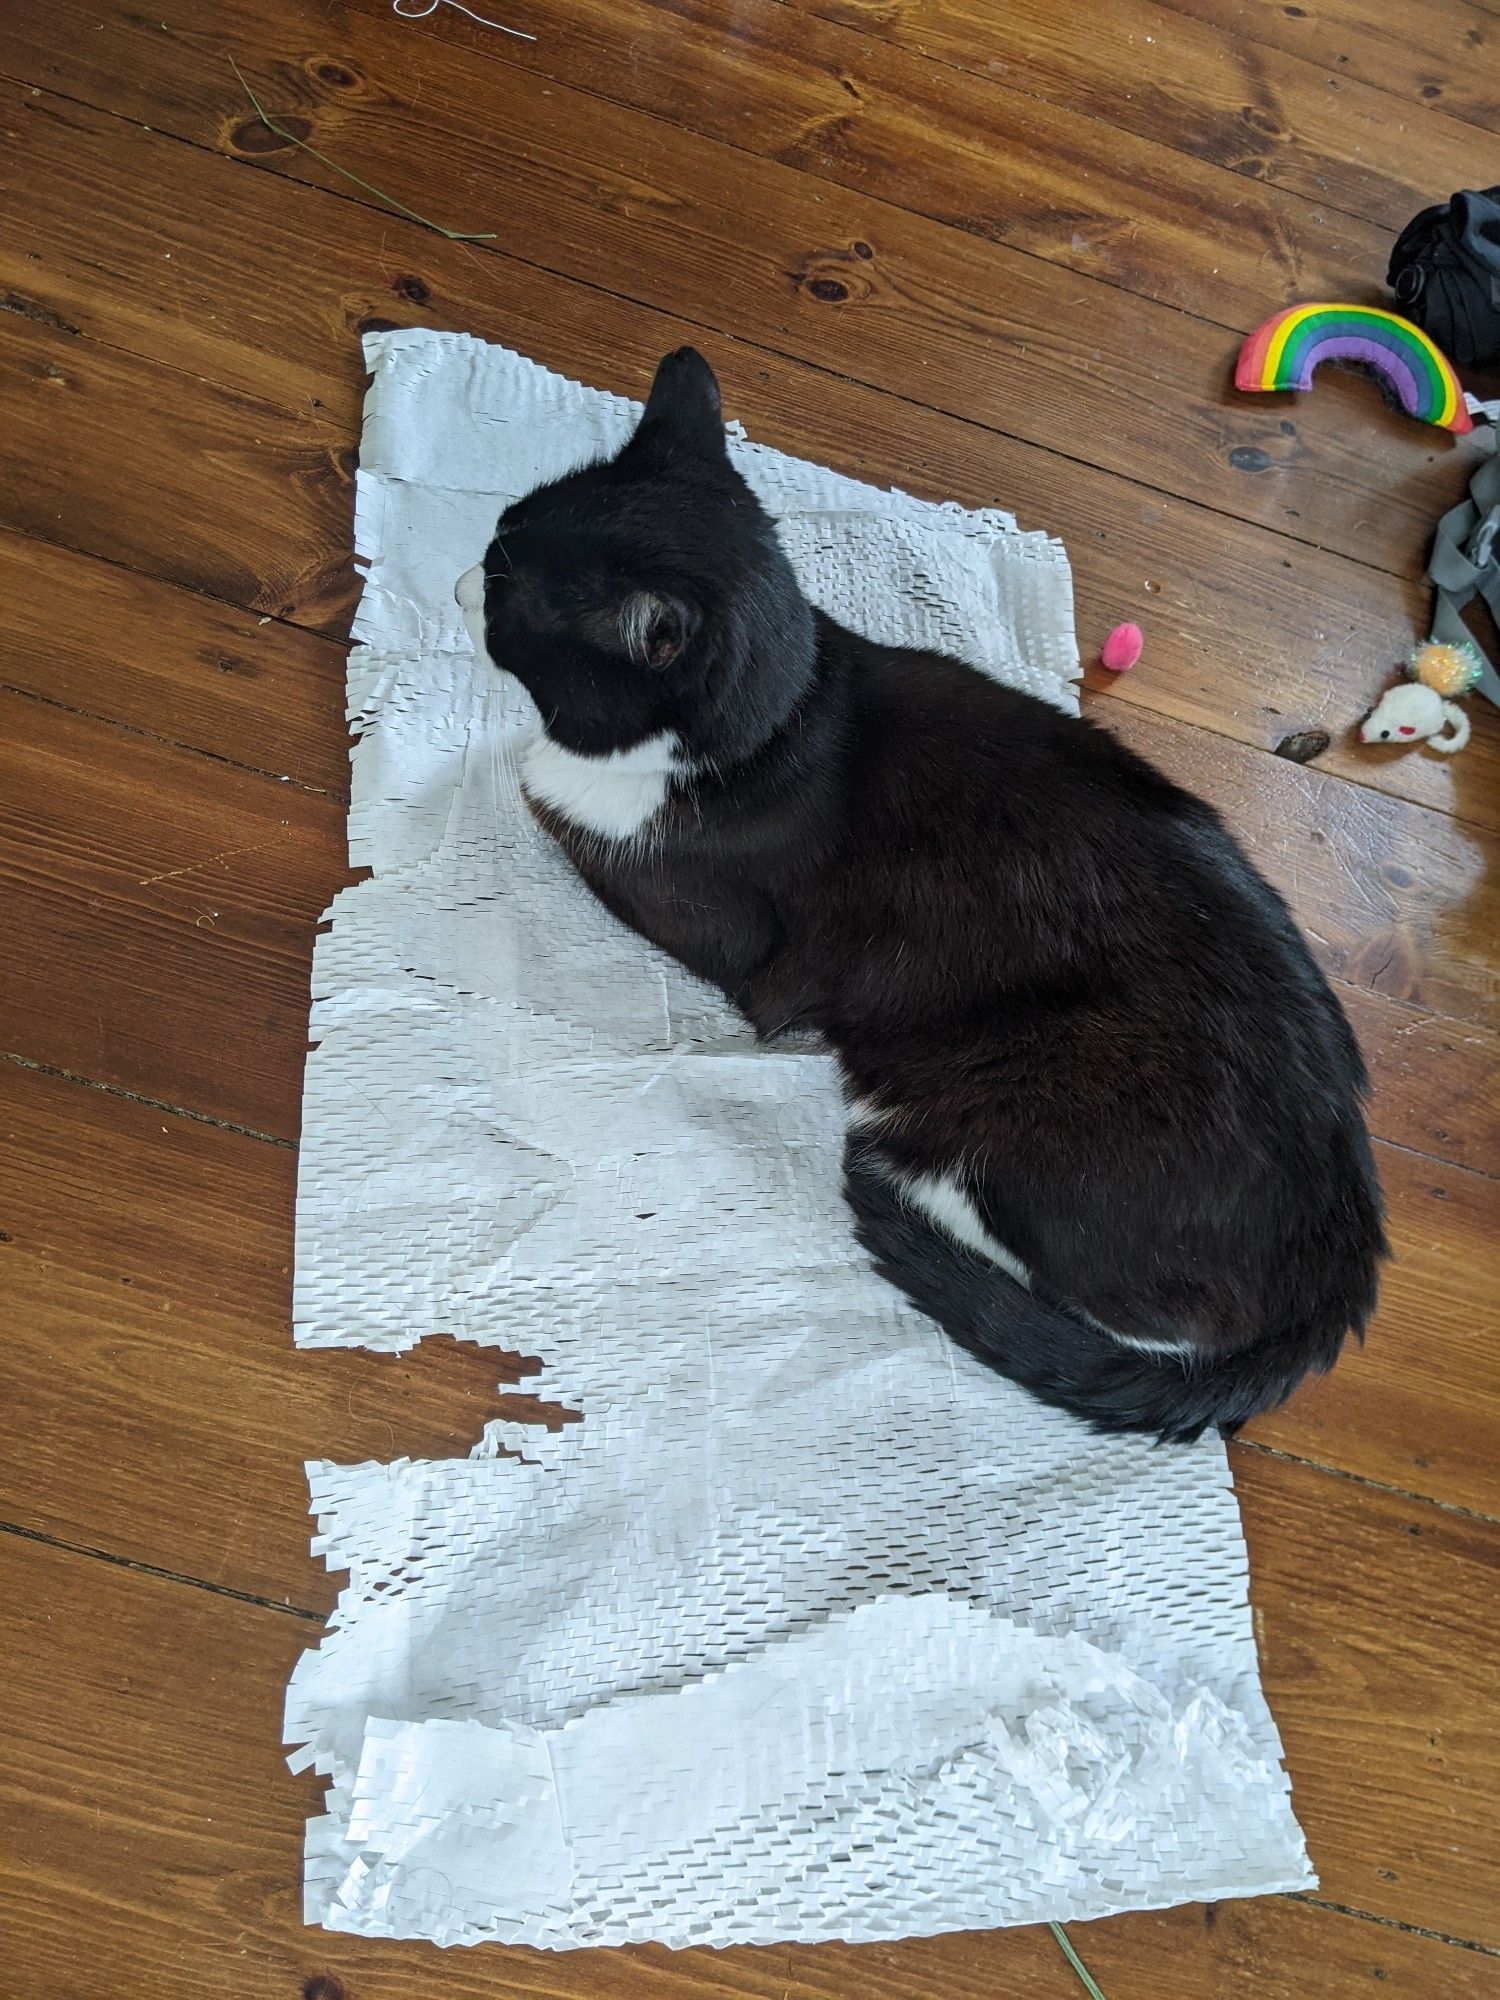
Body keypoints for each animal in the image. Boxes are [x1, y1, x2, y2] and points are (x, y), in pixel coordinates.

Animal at [456, 344, 1384, 1440]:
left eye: (509, 591)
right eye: (503, 528)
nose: (465, 571)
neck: (787, 714)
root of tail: (1339, 1259)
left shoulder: (719, 916)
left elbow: (546, 792)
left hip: (1005, 1104)